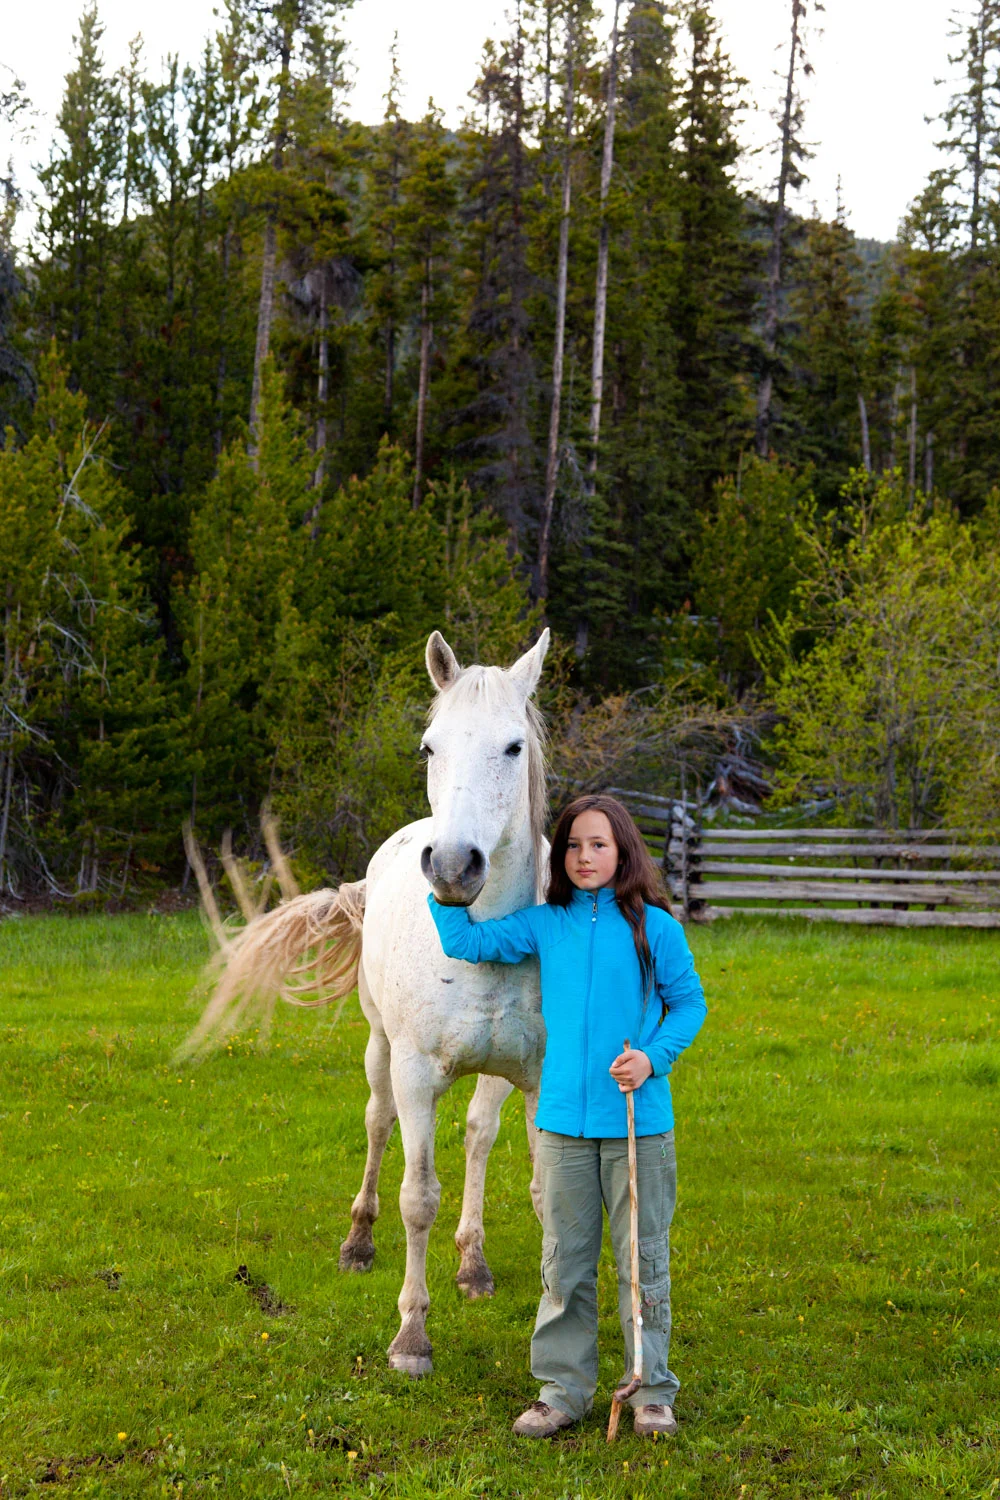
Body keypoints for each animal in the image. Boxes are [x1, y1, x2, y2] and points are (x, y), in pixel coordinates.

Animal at [183, 627, 551, 1376]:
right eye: (430, 746)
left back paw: (473, 1264)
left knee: (478, 1134)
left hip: (495, 1076)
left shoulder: (541, 1078)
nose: (453, 866)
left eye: (513, 746)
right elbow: (417, 1197)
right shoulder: (413, 1074)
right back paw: (358, 1242)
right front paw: (410, 1337)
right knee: (378, 1124)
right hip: (381, 1049)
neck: (487, 936)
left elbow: (541, 1195)